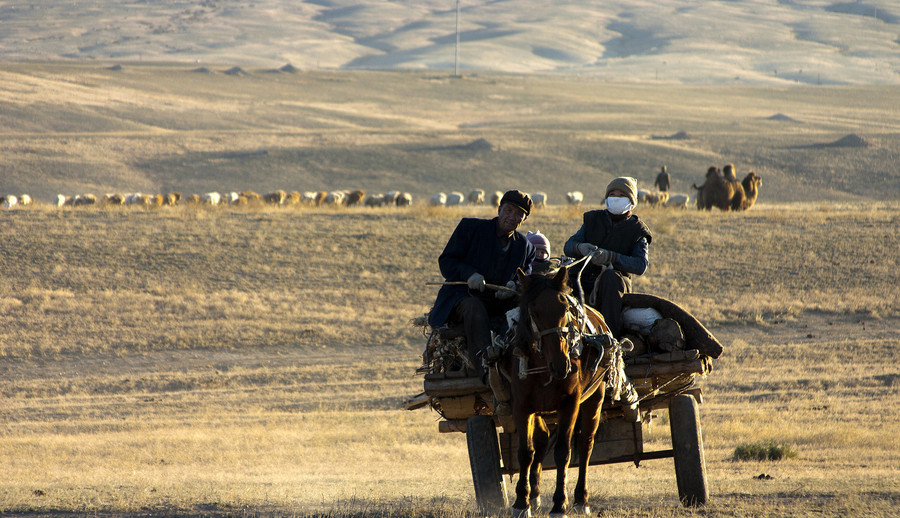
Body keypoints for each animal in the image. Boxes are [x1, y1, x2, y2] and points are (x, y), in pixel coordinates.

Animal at [506, 270, 612, 516]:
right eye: (534, 311)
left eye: (564, 308)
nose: (562, 364)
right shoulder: (521, 406)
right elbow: (525, 452)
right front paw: (521, 503)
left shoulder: (569, 404)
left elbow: (563, 452)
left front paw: (559, 504)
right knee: (542, 439)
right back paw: (534, 495)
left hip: (595, 398)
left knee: (585, 445)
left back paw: (581, 499)